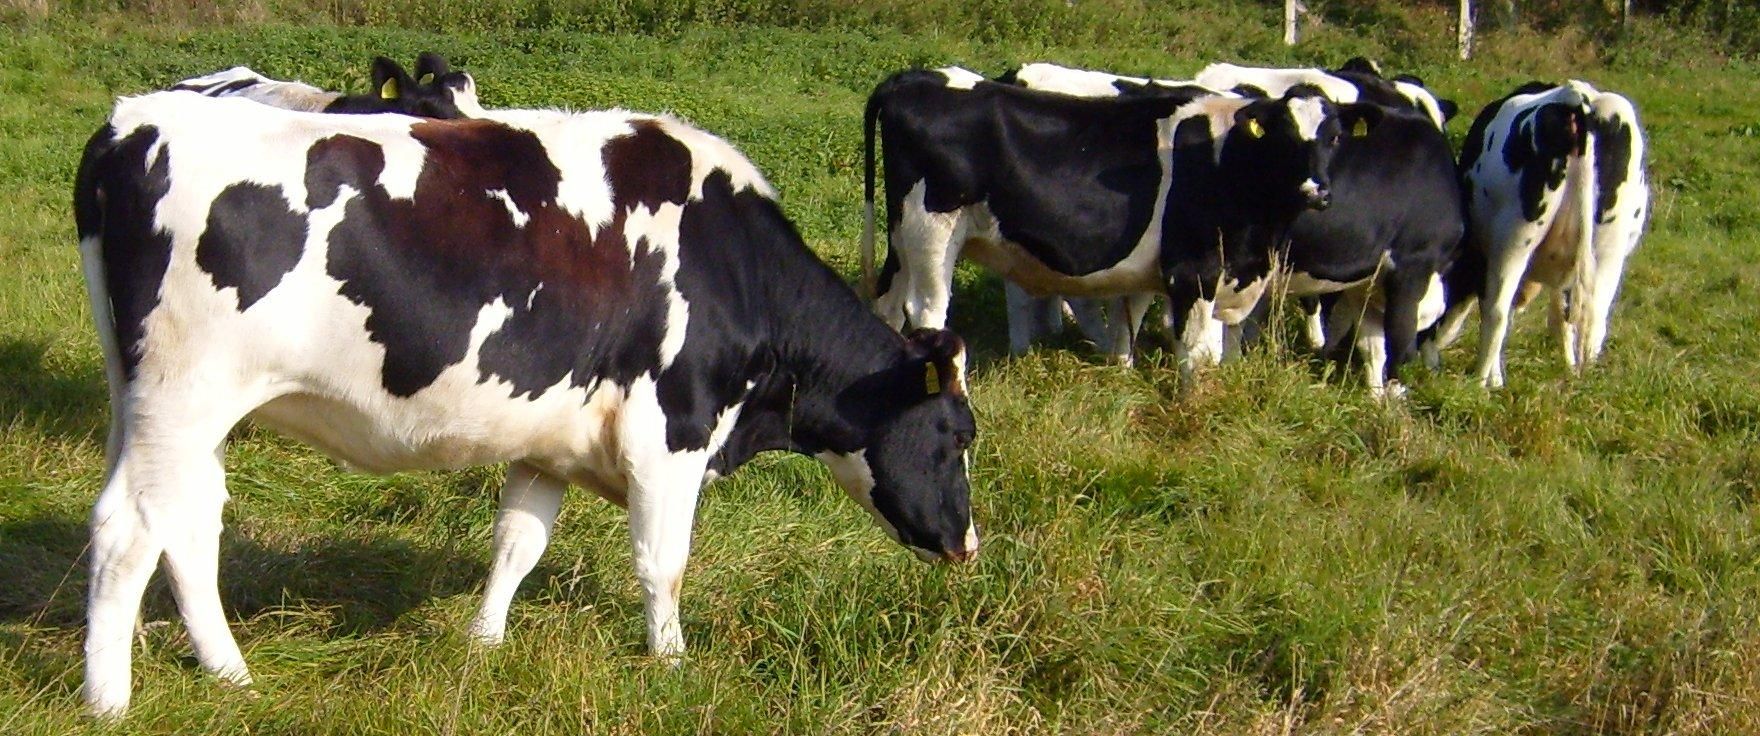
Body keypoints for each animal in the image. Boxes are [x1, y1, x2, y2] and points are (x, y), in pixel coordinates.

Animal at [75, 88, 985, 714]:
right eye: (955, 436)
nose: (968, 545)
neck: (735, 265)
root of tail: (133, 121)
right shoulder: (672, 433)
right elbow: (664, 563)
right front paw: (672, 664)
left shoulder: (551, 440)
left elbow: (517, 543)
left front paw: (483, 643)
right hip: (183, 396)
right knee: (130, 530)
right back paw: (109, 701)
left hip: (157, 408)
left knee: (187, 525)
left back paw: (228, 673)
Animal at [858, 67, 1365, 385]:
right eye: (1285, 136)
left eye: (1335, 137)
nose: (1317, 192)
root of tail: (916, 77)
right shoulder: (1194, 272)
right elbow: (1198, 354)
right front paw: (1196, 410)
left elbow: (1132, 318)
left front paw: (1120, 370)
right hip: (933, 229)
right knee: (927, 309)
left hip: (903, 232)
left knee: (889, 302)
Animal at [1429, 81, 1647, 387]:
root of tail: (1576, 98)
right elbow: (1562, 318)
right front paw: (1569, 366)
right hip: (1608, 249)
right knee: (1594, 320)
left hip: (1513, 240)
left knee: (1497, 311)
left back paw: (1480, 383)